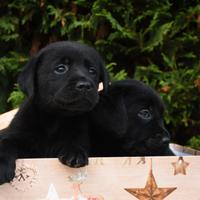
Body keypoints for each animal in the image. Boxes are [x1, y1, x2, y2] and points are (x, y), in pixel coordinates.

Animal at [0, 41, 109, 184]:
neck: (55, 118)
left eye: (92, 71)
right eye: (61, 68)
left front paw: (75, 152)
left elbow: (75, 141)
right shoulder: (17, 136)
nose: (85, 85)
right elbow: (6, 142)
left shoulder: (79, 133)